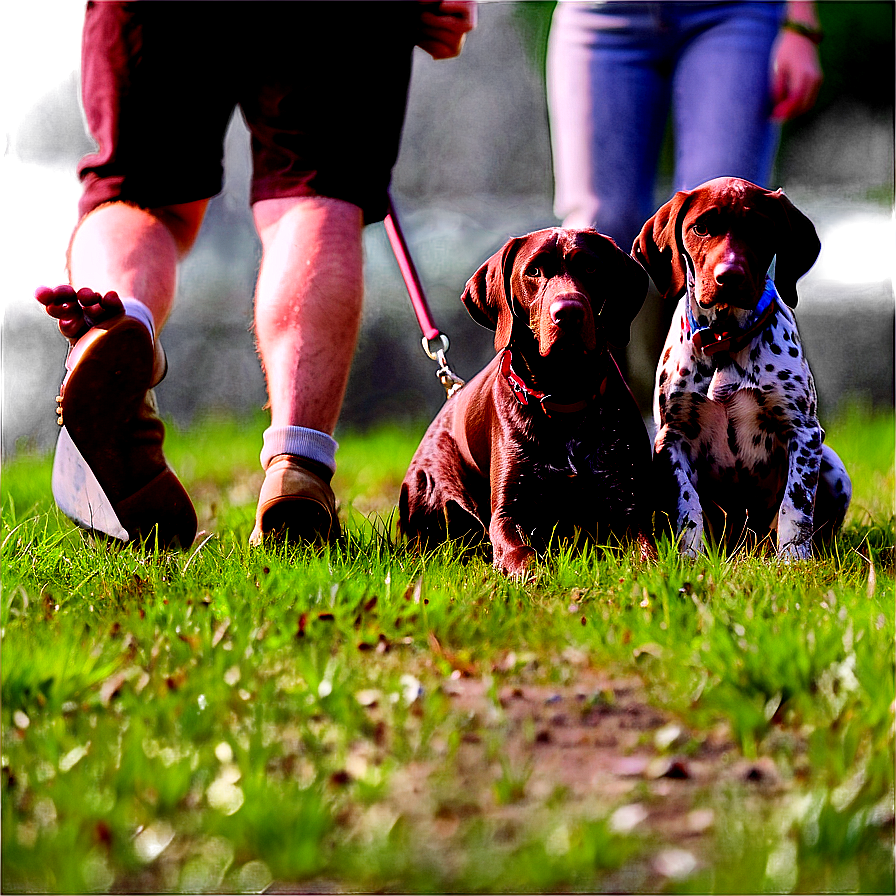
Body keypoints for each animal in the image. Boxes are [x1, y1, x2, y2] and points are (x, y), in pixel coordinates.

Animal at [402, 228, 656, 576]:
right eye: (533, 271)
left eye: (590, 267)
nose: (568, 312)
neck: (564, 393)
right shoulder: (508, 513)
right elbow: (522, 555)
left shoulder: (629, 503)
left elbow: (648, 555)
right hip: (429, 498)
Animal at [632, 176, 856, 560]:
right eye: (701, 228)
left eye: (760, 228)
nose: (730, 276)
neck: (725, 339)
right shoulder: (671, 438)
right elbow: (688, 506)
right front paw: (690, 559)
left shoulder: (804, 433)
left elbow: (795, 505)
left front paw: (793, 561)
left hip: (831, 465)